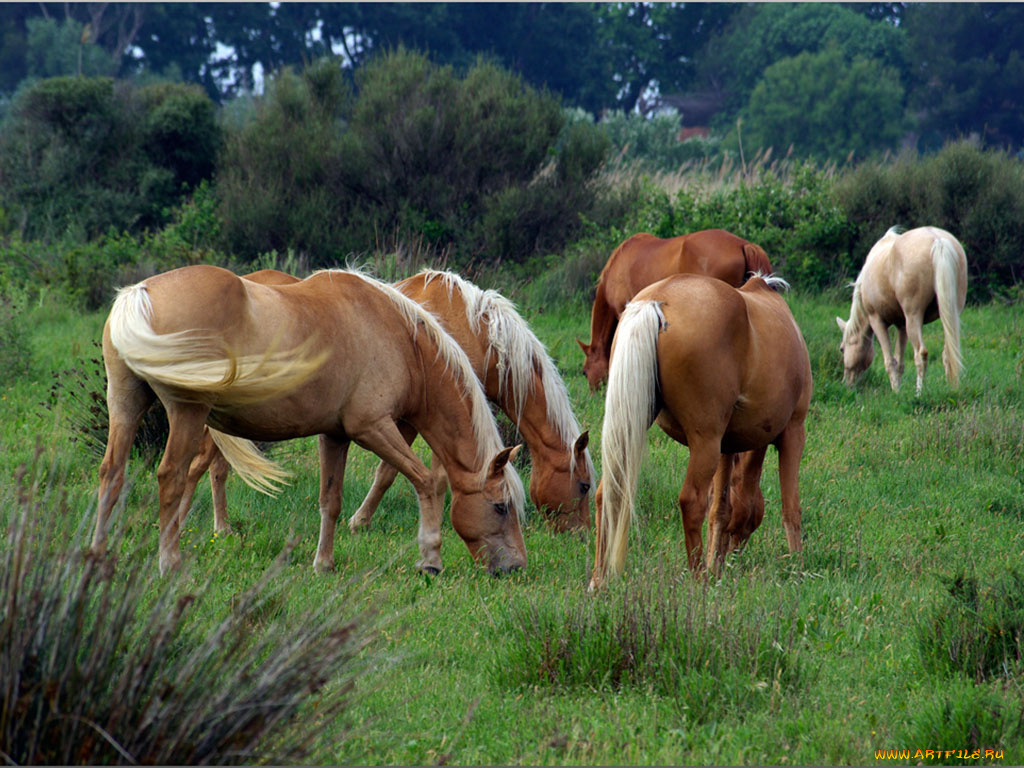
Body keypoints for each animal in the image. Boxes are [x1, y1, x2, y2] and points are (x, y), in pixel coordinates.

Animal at [93, 268, 528, 573]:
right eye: (501, 507)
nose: (515, 567)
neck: (400, 339)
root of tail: (139, 293)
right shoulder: (372, 429)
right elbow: (426, 481)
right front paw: (430, 559)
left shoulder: (335, 436)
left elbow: (330, 502)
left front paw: (324, 564)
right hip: (187, 414)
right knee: (171, 478)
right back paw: (170, 563)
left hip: (126, 405)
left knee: (112, 471)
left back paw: (97, 552)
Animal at [589, 274, 811, 593]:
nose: (732, 556)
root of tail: (656, 301)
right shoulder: (793, 431)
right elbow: (791, 508)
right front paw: (797, 568)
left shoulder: (726, 447)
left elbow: (720, 509)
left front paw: (715, 564)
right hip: (705, 444)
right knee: (691, 502)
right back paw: (699, 579)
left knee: (607, 494)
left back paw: (599, 580)